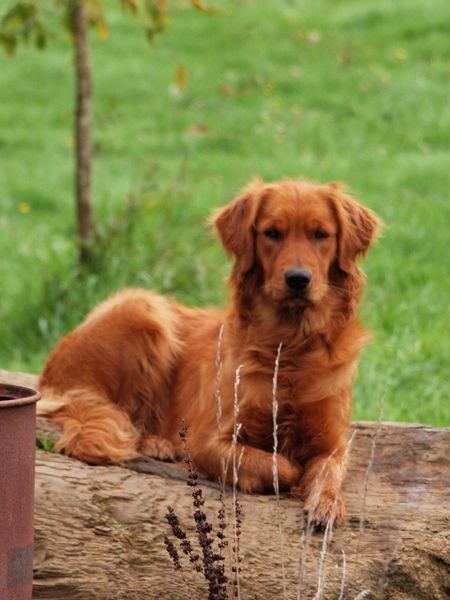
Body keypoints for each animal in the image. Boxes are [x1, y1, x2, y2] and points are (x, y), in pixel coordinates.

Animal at [38, 178, 382, 524]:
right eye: (272, 233)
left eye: (320, 235)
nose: (298, 279)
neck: (290, 345)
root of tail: (51, 371)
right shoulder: (208, 441)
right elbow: (280, 465)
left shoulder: (334, 443)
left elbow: (327, 469)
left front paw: (326, 503)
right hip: (143, 308)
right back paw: (157, 443)